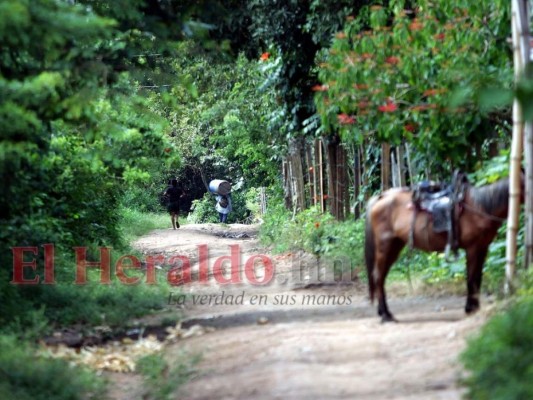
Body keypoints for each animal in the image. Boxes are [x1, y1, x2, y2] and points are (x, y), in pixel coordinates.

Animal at [364, 178, 516, 322]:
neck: (481, 207)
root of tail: (380, 198)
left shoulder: (483, 248)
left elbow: (478, 278)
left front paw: (474, 307)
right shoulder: (473, 248)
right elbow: (471, 278)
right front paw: (470, 308)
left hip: (395, 247)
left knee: (381, 277)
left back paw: (383, 312)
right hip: (385, 247)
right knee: (378, 276)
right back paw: (385, 315)